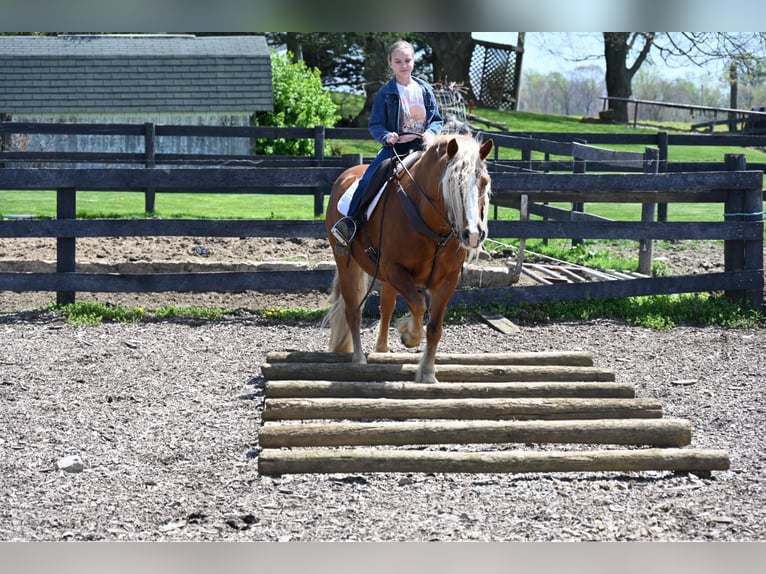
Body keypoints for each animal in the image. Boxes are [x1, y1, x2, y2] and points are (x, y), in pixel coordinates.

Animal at [326, 133, 496, 384]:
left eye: (484, 182)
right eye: (453, 183)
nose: (473, 235)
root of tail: (345, 175)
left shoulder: (447, 281)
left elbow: (435, 328)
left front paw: (427, 373)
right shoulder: (395, 270)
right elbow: (418, 304)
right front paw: (409, 336)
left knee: (386, 307)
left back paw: (382, 350)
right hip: (348, 265)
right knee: (353, 310)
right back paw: (358, 359)